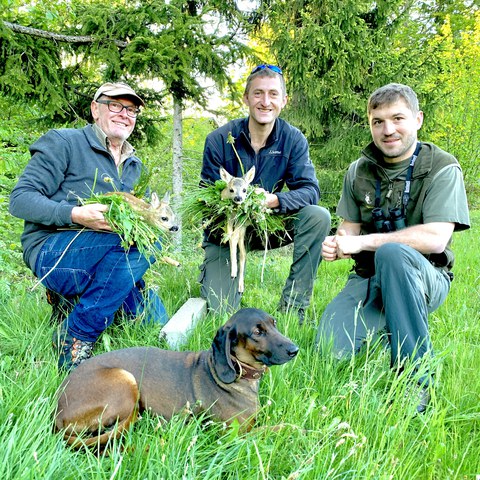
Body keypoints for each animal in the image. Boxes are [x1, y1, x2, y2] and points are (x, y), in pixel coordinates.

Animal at [54, 308, 298, 446]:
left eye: (274, 323)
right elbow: (280, 427)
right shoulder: (234, 436)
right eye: (257, 332)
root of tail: (58, 413)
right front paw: (301, 431)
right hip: (125, 381)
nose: (294, 350)